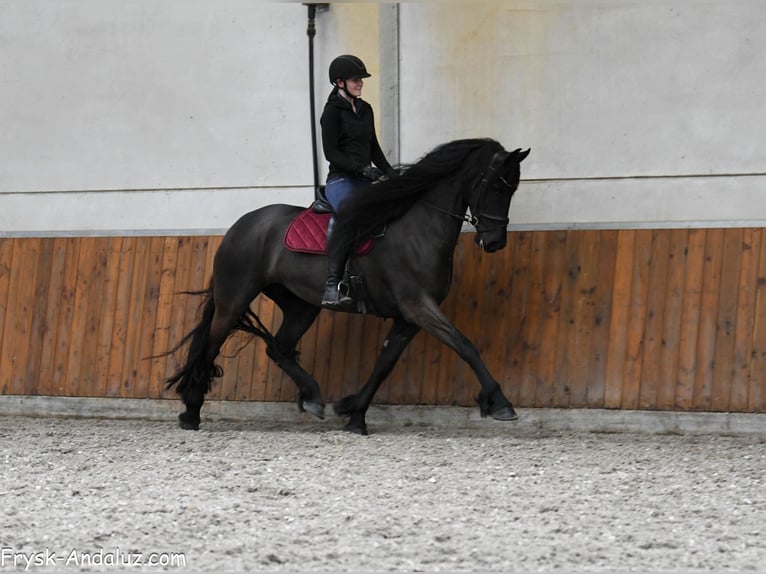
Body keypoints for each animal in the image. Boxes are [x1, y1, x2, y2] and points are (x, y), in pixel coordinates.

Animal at [163, 138, 530, 434]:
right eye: (497, 186)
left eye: (513, 189)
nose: (494, 242)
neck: (419, 227)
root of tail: (242, 225)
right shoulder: (418, 306)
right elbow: (465, 345)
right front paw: (500, 403)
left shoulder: (408, 317)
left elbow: (384, 365)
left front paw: (354, 414)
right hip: (235, 298)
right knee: (211, 344)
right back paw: (191, 413)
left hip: (301, 305)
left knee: (278, 348)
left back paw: (313, 398)